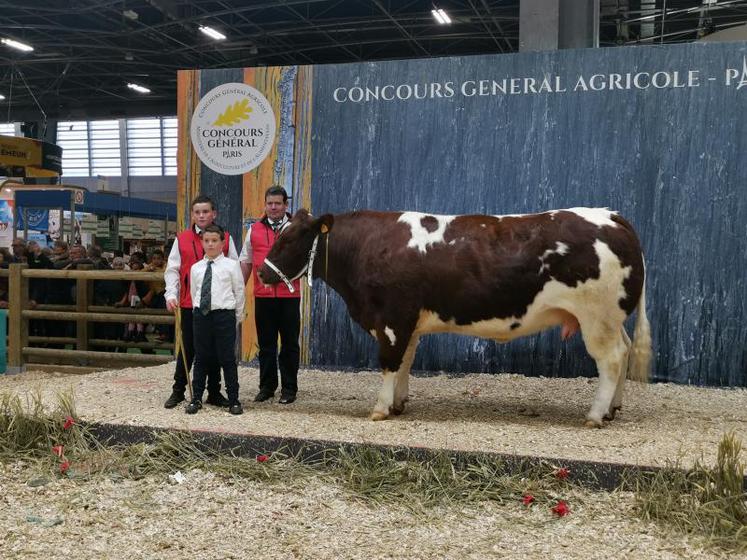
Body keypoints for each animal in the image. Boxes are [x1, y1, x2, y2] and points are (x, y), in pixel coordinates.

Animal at [258, 208, 656, 426]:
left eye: (289, 240)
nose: (261, 274)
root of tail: (610, 216)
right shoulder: (409, 323)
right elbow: (405, 362)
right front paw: (399, 403)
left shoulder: (392, 318)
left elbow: (389, 362)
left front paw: (381, 409)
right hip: (610, 319)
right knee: (623, 353)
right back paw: (613, 409)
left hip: (596, 317)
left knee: (612, 360)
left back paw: (595, 415)